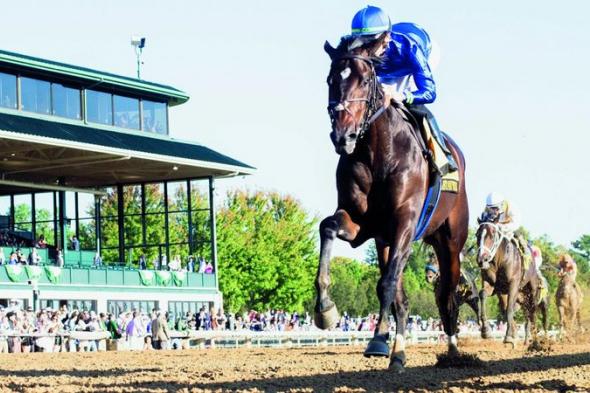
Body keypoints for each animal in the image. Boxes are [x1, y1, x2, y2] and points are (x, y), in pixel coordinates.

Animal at [316, 31, 470, 370]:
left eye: (364, 80)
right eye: (331, 79)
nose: (342, 137)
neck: (377, 153)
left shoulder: (405, 222)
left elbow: (387, 285)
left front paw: (384, 345)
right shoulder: (361, 223)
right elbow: (327, 227)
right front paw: (325, 309)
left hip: (451, 241)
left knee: (448, 295)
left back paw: (452, 351)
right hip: (384, 240)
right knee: (401, 293)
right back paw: (391, 343)